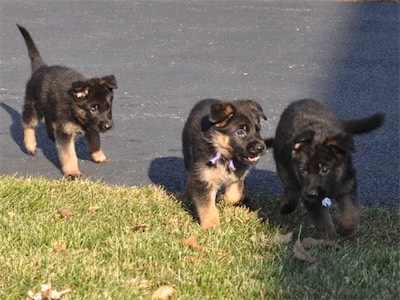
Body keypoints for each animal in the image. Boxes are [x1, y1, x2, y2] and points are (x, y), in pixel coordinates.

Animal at [17, 24, 117, 178]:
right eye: (93, 108)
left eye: (109, 107)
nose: (108, 126)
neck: (74, 108)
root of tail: (41, 67)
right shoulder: (65, 132)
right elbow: (69, 154)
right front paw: (72, 172)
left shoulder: (90, 126)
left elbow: (95, 141)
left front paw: (98, 156)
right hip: (33, 106)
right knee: (28, 124)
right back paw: (30, 145)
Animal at [183, 99, 268, 229]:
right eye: (240, 132)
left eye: (257, 130)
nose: (261, 148)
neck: (224, 154)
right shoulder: (204, 179)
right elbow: (207, 206)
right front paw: (211, 226)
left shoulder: (238, 175)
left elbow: (235, 195)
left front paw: (223, 199)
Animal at [272, 99, 384, 240]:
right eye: (303, 171)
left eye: (325, 169)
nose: (311, 194)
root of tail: (300, 101)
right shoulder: (311, 198)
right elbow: (322, 221)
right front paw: (328, 239)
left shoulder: (347, 183)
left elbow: (351, 213)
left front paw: (344, 229)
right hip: (281, 162)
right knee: (290, 185)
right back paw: (288, 204)